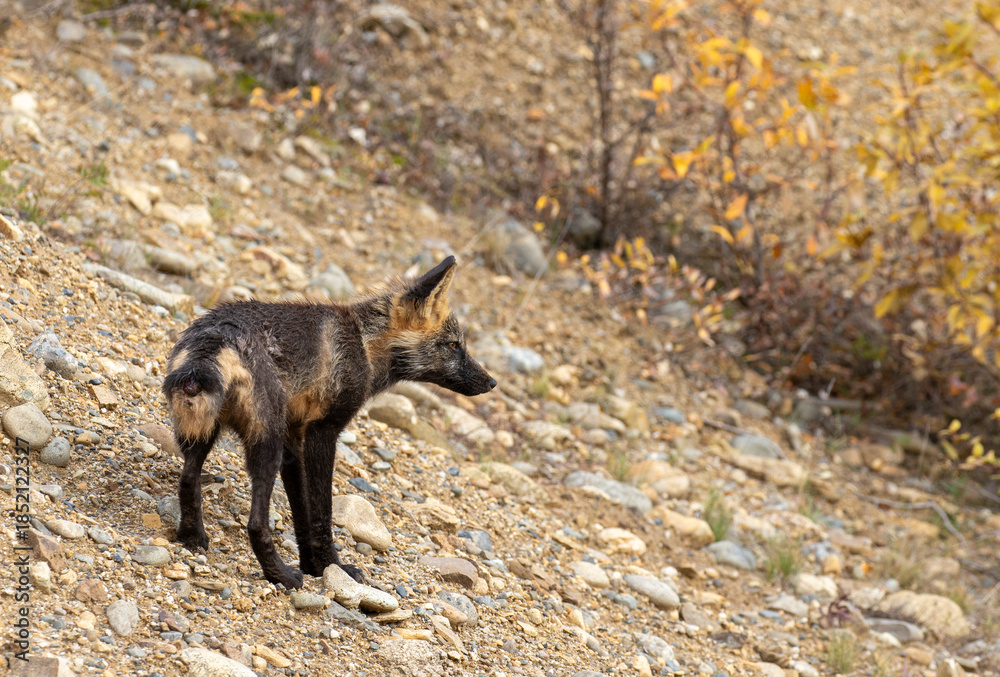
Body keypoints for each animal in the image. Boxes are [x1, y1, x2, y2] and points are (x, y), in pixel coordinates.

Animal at [161, 256, 496, 589]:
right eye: (453, 345)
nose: (491, 382)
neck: (363, 345)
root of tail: (216, 335)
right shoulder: (323, 432)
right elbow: (321, 511)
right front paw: (332, 566)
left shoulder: (294, 440)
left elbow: (302, 511)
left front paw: (313, 565)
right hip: (265, 445)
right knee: (256, 524)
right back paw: (281, 575)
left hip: (204, 434)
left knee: (188, 481)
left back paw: (192, 538)